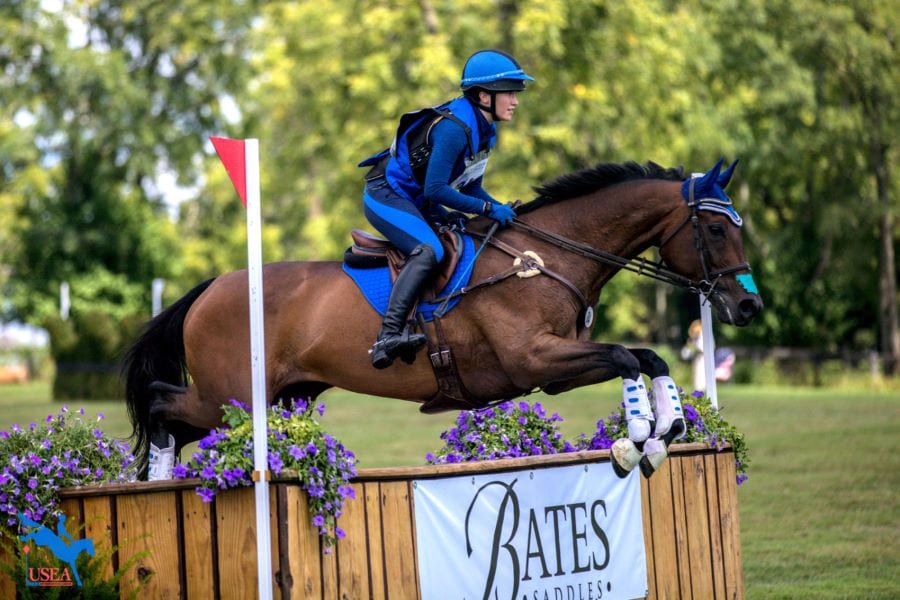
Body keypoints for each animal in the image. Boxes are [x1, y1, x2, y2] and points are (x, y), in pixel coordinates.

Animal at [125, 158, 760, 478]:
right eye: (713, 228)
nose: (748, 305)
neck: (546, 256)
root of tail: (210, 288)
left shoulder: (554, 371)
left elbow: (646, 357)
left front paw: (667, 431)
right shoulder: (533, 358)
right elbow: (628, 355)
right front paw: (636, 442)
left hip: (284, 396)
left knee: (171, 413)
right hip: (231, 397)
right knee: (160, 403)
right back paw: (155, 478)